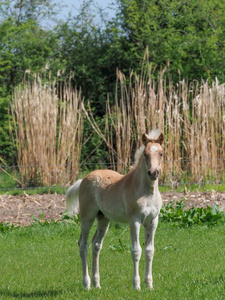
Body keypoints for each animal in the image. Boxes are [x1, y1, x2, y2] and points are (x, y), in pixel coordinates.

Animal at [66, 129, 164, 290]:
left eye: (161, 153)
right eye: (145, 154)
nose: (153, 173)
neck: (146, 191)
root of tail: (83, 179)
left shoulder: (152, 221)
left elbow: (150, 251)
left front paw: (149, 285)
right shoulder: (134, 221)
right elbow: (136, 251)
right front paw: (136, 286)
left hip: (103, 219)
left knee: (96, 244)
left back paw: (97, 284)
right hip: (87, 217)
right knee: (83, 244)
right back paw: (87, 284)